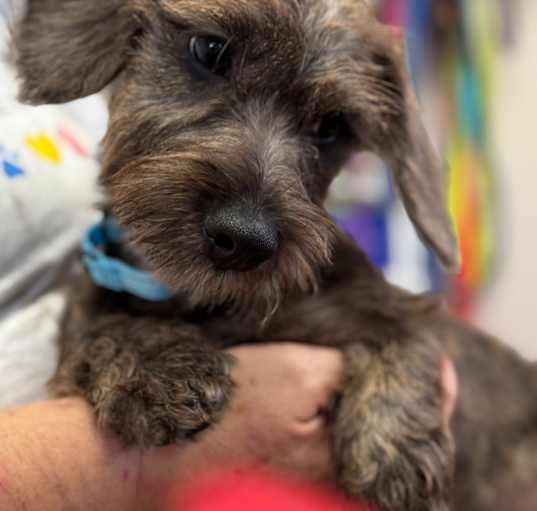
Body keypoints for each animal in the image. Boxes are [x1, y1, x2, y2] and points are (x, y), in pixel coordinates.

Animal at [11, 1, 536, 511]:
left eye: (332, 126)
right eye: (209, 50)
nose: (244, 238)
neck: (205, 301)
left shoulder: (388, 305)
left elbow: (407, 329)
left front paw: (394, 451)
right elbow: (103, 322)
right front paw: (155, 363)